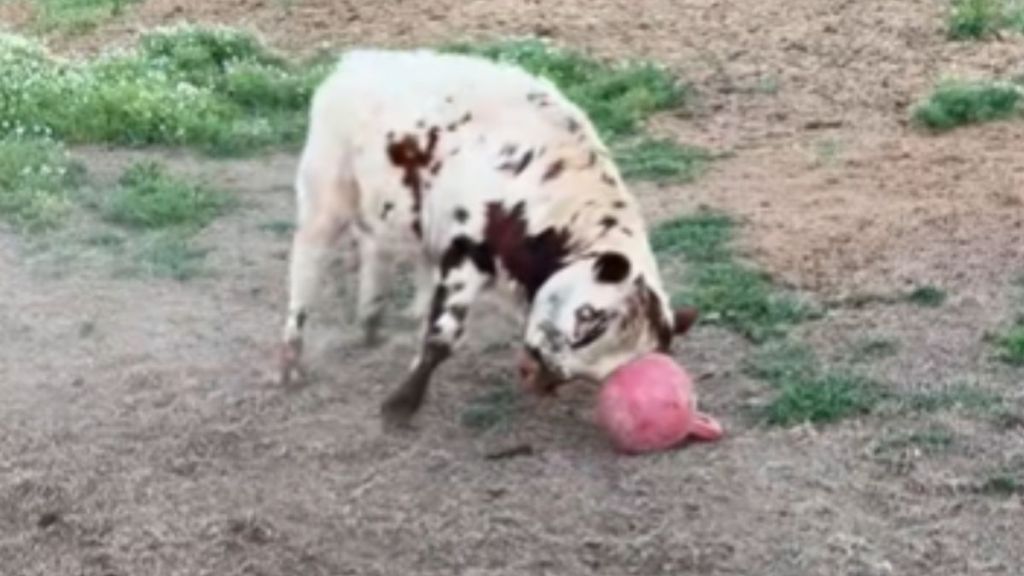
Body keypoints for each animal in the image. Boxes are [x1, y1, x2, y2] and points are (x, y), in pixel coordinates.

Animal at [276, 48, 700, 426]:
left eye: (604, 372)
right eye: (588, 320)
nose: (539, 374)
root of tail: (357, 61)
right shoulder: (466, 251)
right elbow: (442, 335)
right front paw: (400, 405)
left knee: (375, 247)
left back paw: (371, 321)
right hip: (326, 196)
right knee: (307, 263)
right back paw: (291, 362)